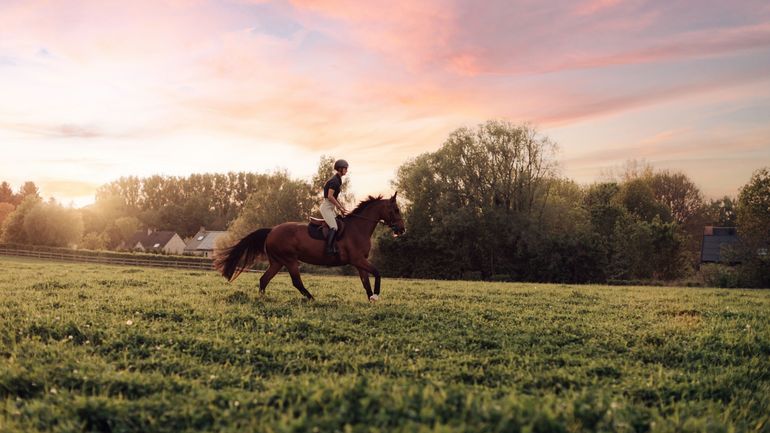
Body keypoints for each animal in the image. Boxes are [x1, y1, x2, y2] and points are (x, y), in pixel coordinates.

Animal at [210, 192, 402, 300]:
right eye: (396, 210)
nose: (402, 229)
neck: (358, 228)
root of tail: (272, 230)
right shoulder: (357, 260)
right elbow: (377, 273)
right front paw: (376, 295)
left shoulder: (360, 261)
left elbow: (365, 281)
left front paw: (371, 298)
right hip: (290, 260)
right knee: (296, 282)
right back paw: (311, 298)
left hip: (277, 262)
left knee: (264, 279)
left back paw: (262, 299)